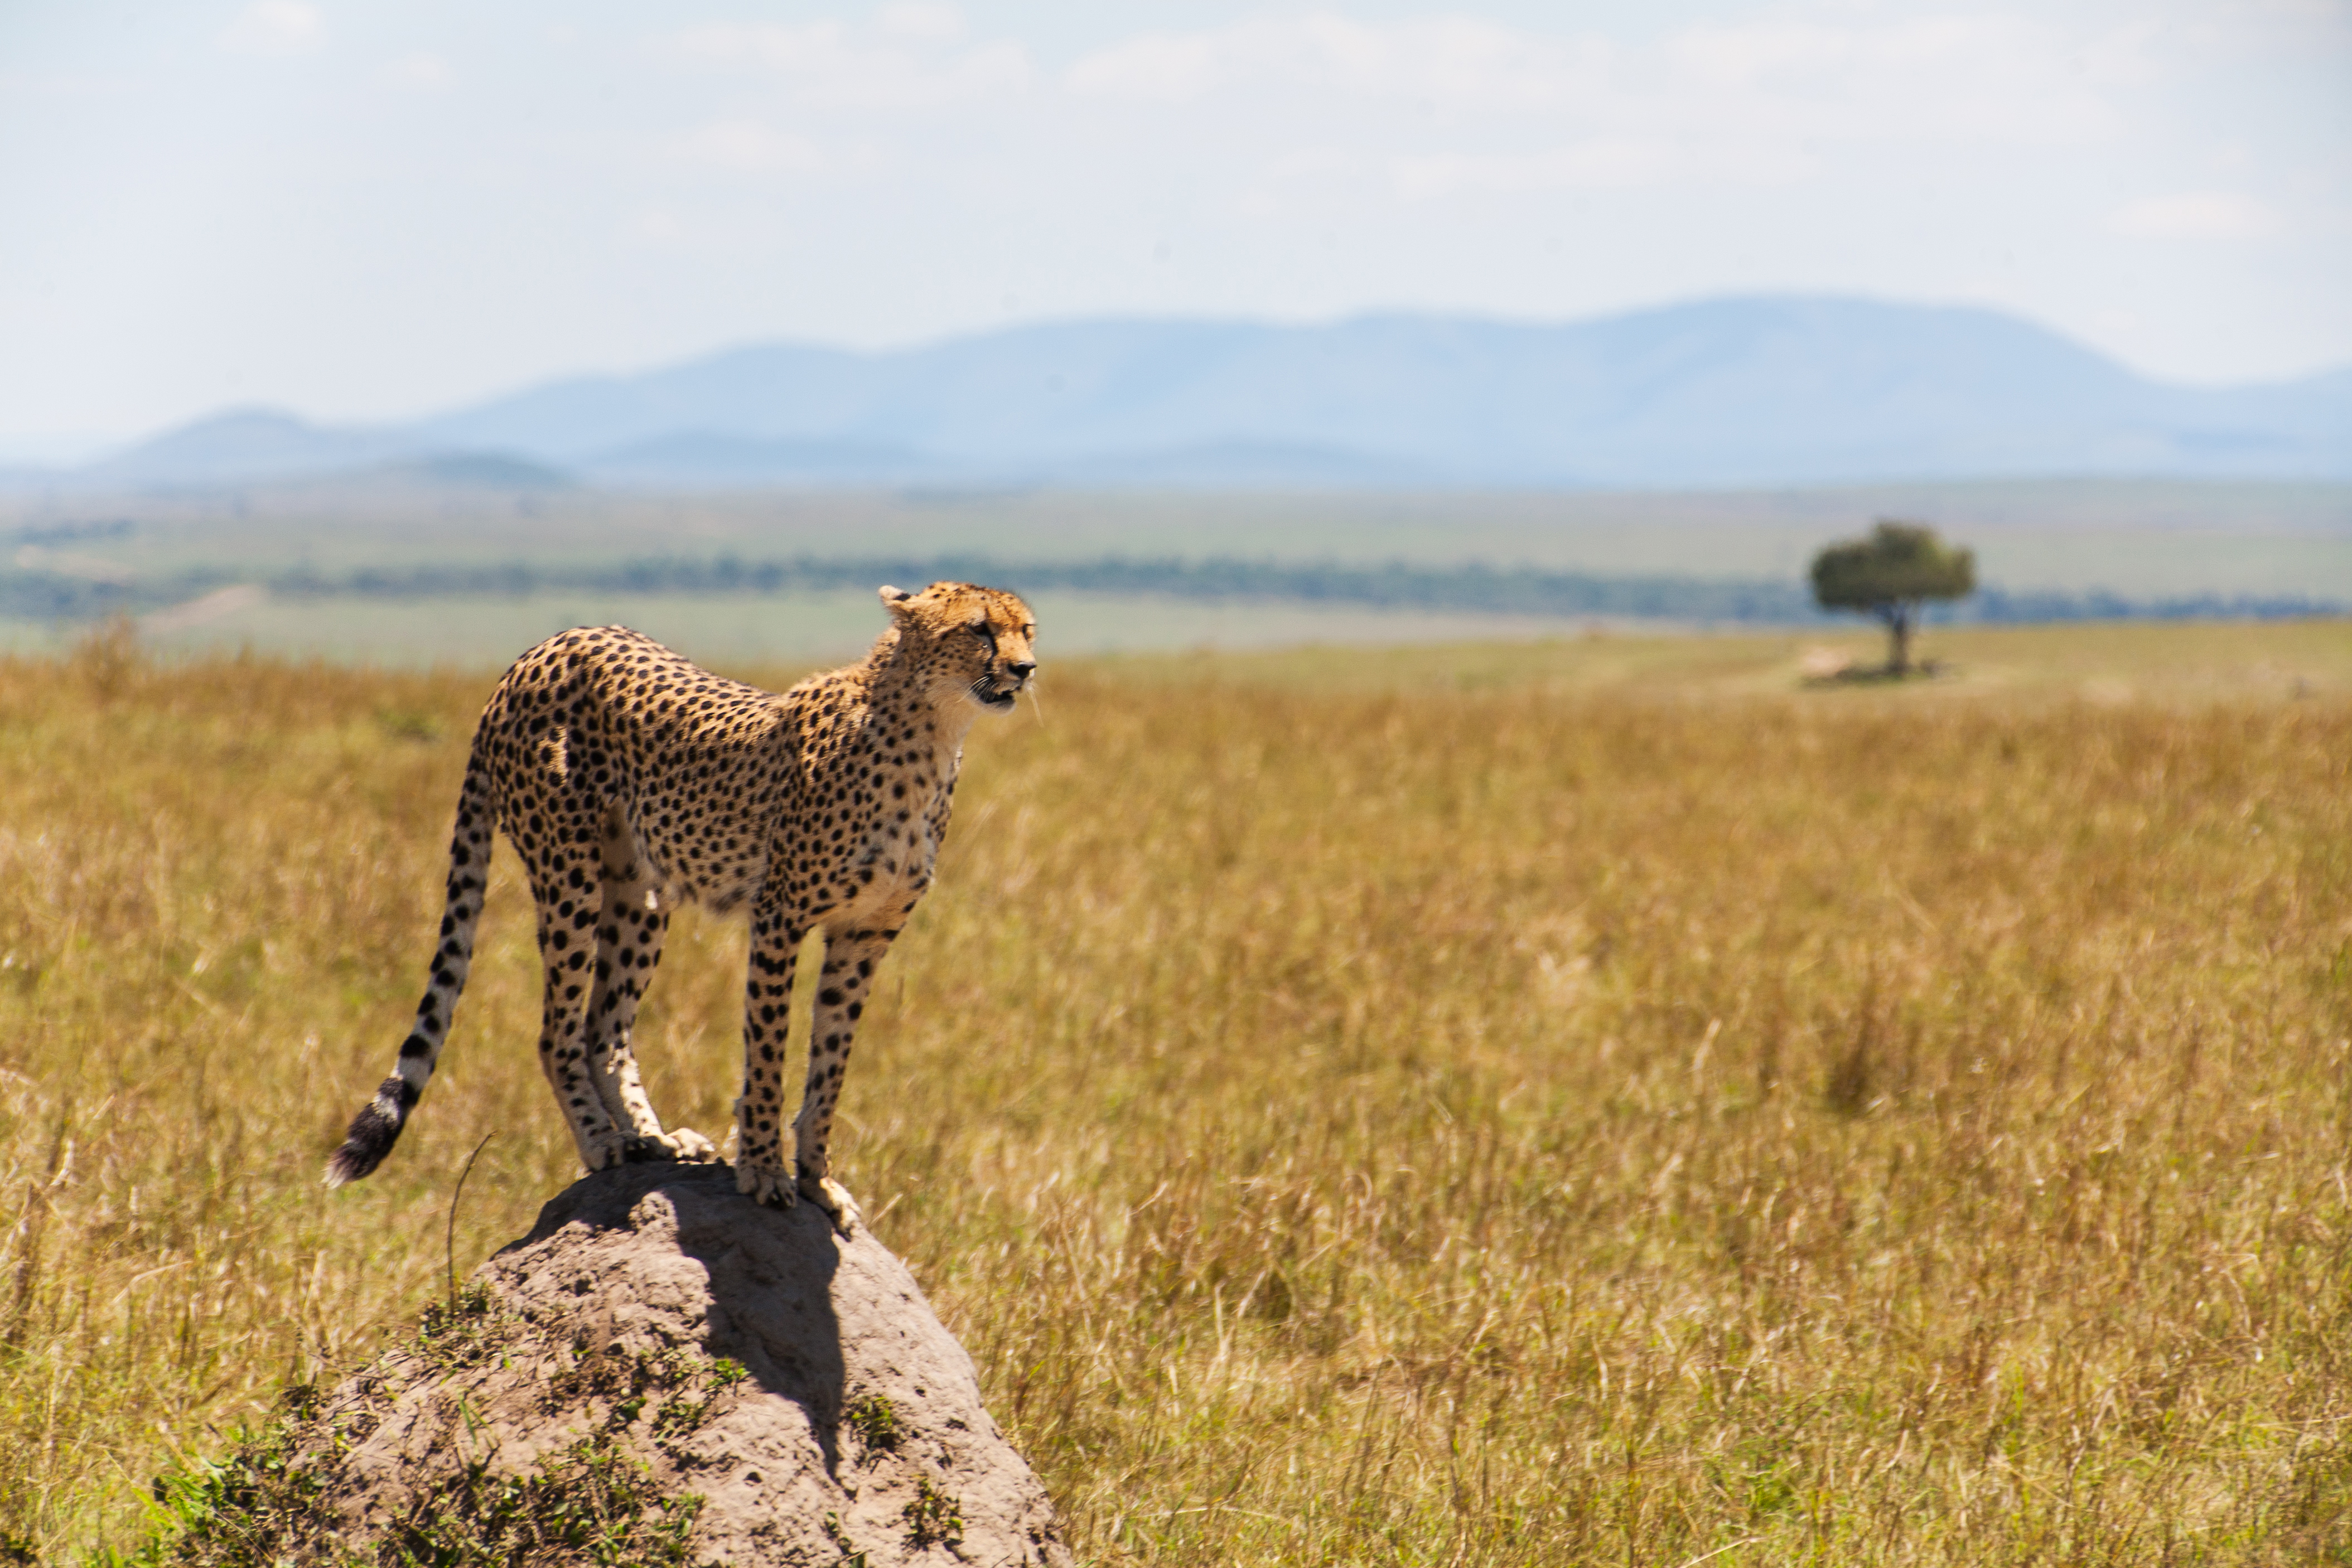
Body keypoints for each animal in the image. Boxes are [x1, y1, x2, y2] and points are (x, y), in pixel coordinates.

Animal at [324, 583, 1039, 1232]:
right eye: (978, 629)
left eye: (1026, 629)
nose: (1026, 668)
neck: (931, 733)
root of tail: (545, 646)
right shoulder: (779, 919)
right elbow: (768, 1053)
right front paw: (763, 1170)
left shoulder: (864, 935)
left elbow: (829, 1068)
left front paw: (818, 1179)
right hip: (567, 873)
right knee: (557, 1030)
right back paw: (602, 1141)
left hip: (639, 893)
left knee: (604, 1027)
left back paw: (655, 1138)